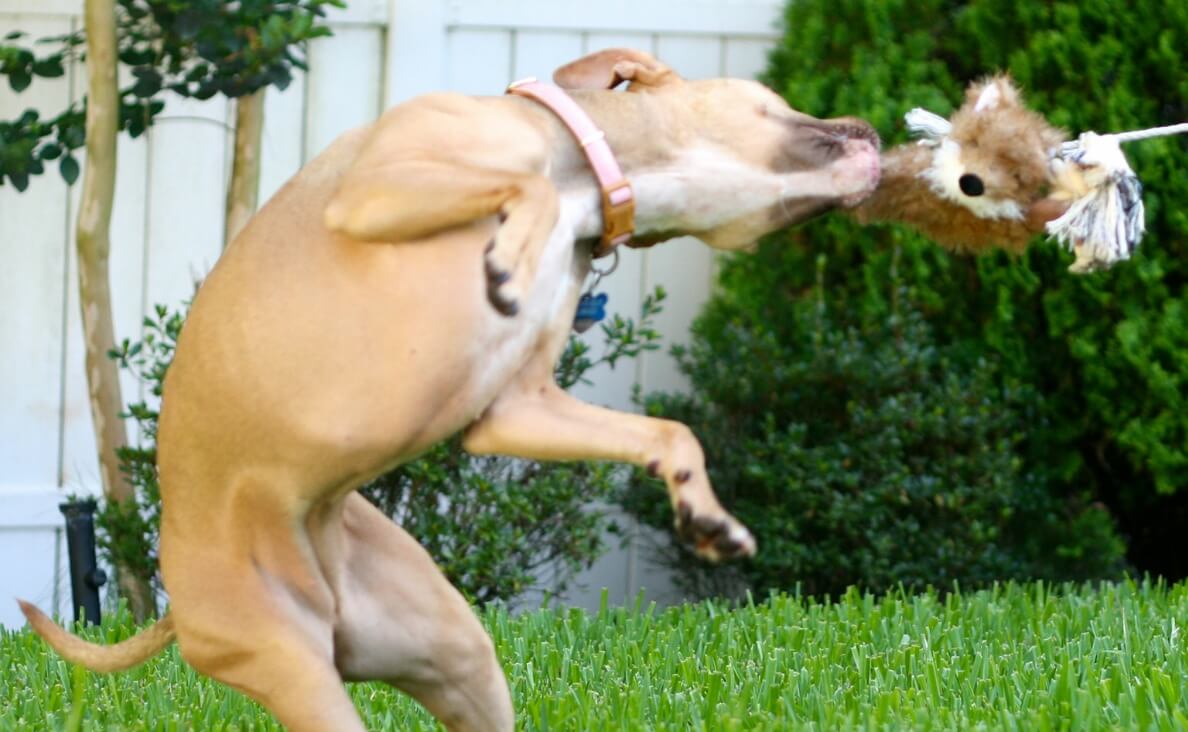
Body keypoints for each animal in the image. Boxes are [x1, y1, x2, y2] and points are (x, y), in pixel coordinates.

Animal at [16, 48, 874, 727]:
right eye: (777, 99)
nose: (872, 130)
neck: (586, 170)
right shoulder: (379, 185)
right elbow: (524, 191)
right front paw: (510, 254)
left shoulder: (518, 409)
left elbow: (670, 433)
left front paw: (705, 512)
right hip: (300, 675)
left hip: (456, 661)